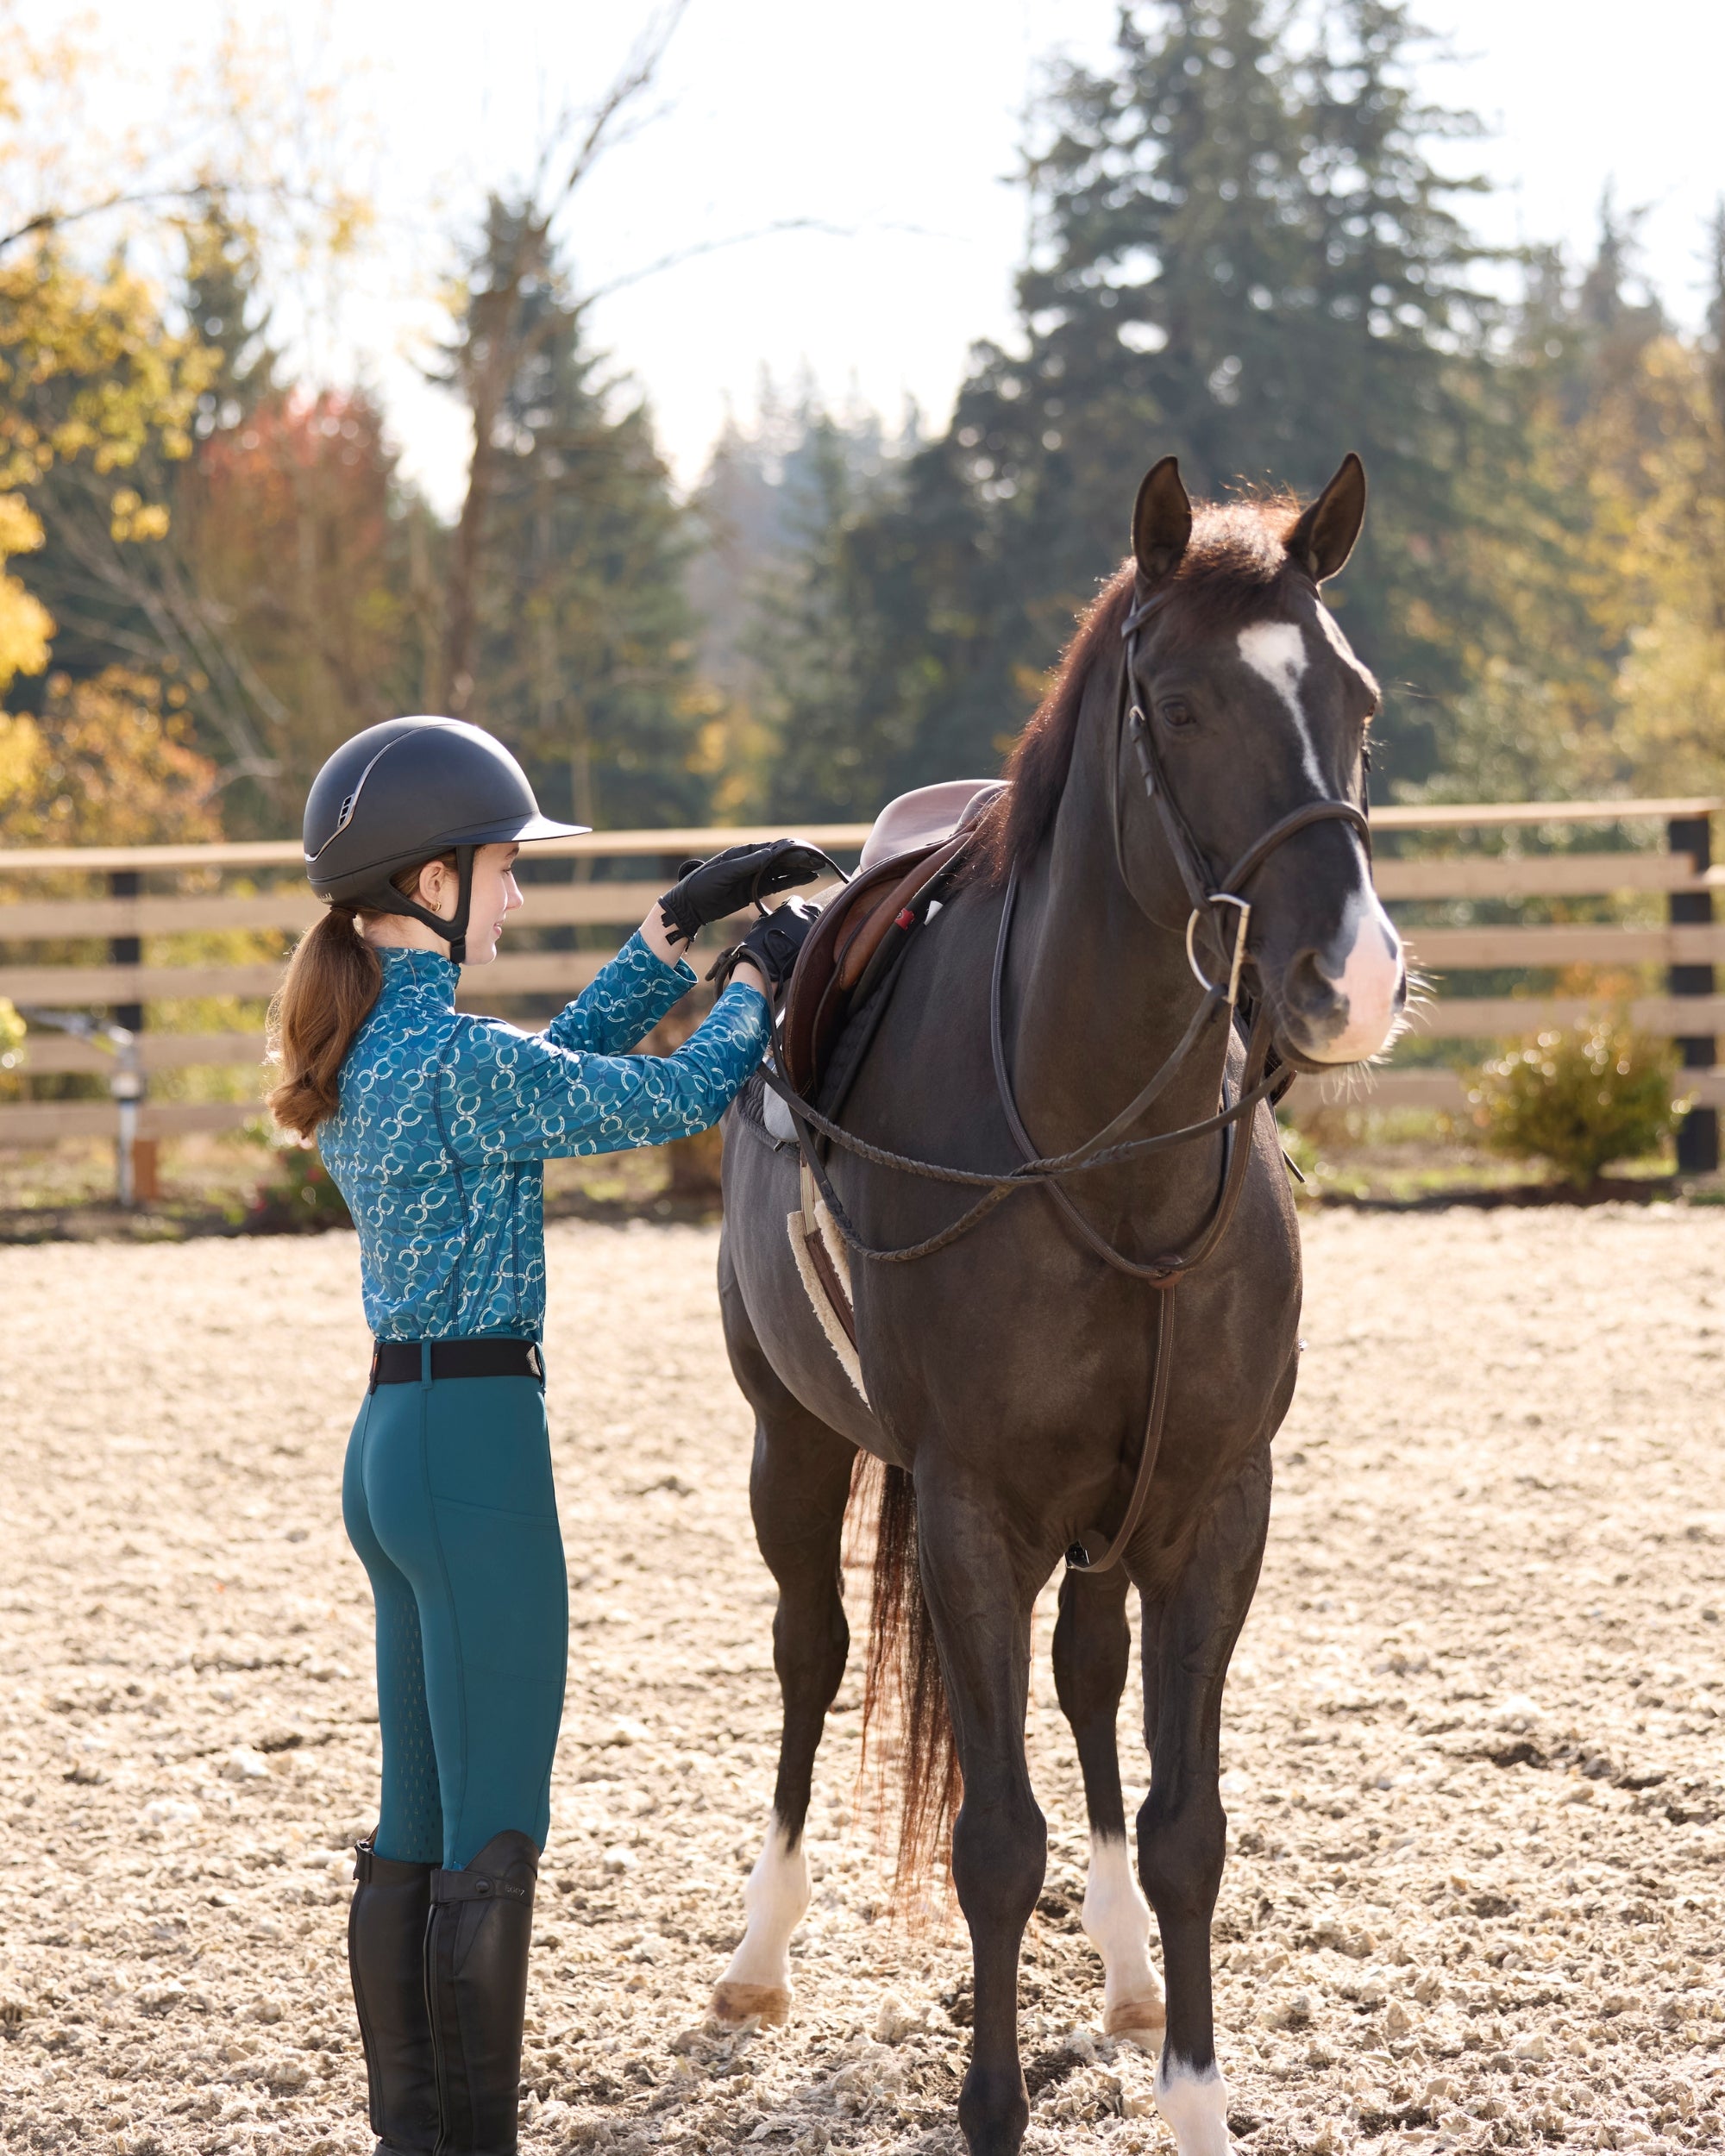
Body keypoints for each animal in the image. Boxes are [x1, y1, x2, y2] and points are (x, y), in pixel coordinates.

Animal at [707, 452, 1404, 2156]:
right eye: (1180, 704)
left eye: (1353, 697)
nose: (1351, 977)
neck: (1102, 1151)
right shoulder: (971, 1519)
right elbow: (993, 1842)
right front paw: (994, 2105)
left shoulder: (1213, 1508)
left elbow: (1187, 1824)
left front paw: (1193, 2094)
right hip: (791, 1442)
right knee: (812, 1651)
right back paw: (760, 1952)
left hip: (1112, 1516)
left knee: (1087, 1678)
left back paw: (1130, 1971)